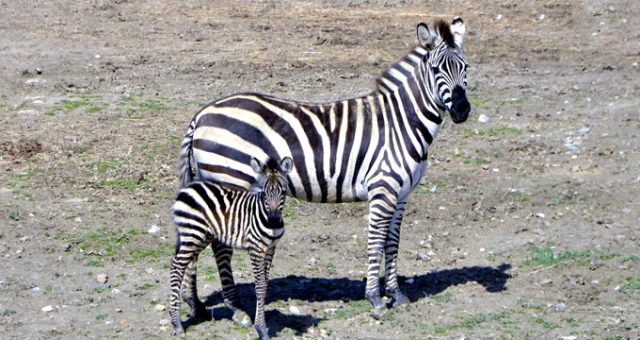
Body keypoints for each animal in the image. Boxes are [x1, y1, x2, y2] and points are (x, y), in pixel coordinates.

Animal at [168, 157, 292, 340]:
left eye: (283, 191)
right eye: (264, 193)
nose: (274, 220)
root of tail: (186, 188)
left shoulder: (270, 249)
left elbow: (265, 284)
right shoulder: (256, 248)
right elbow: (260, 286)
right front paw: (262, 329)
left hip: (202, 236)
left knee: (181, 264)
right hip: (192, 233)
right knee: (176, 266)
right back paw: (177, 323)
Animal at [180, 15, 470, 318]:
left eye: (466, 67)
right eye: (436, 69)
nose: (462, 110)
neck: (402, 122)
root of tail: (202, 114)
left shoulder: (401, 194)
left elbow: (393, 241)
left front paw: (396, 293)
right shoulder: (383, 189)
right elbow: (376, 240)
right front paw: (375, 298)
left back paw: (196, 303)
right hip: (230, 179)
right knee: (220, 246)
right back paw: (236, 307)